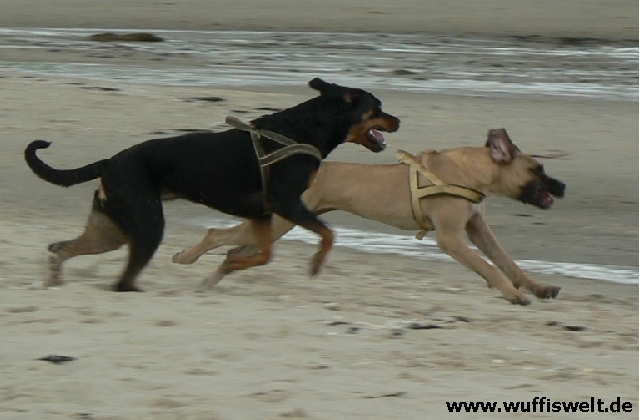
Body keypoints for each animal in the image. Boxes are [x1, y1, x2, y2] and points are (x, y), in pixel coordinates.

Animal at [25, 78, 400, 292]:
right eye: (378, 107)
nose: (398, 120)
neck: (305, 129)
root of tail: (108, 162)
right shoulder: (285, 202)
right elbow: (328, 234)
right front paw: (316, 264)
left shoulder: (263, 212)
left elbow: (264, 254)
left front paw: (230, 265)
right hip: (147, 224)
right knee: (123, 279)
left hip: (111, 228)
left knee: (60, 249)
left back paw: (54, 280)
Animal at [174, 128, 564, 306]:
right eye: (538, 168)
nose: (562, 186)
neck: (467, 172)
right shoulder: (451, 238)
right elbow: (489, 267)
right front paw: (512, 294)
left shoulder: (477, 228)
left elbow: (507, 262)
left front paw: (537, 287)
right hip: (283, 220)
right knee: (217, 235)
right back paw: (186, 258)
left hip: (280, 222)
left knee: (234, 250)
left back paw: (213, 277)